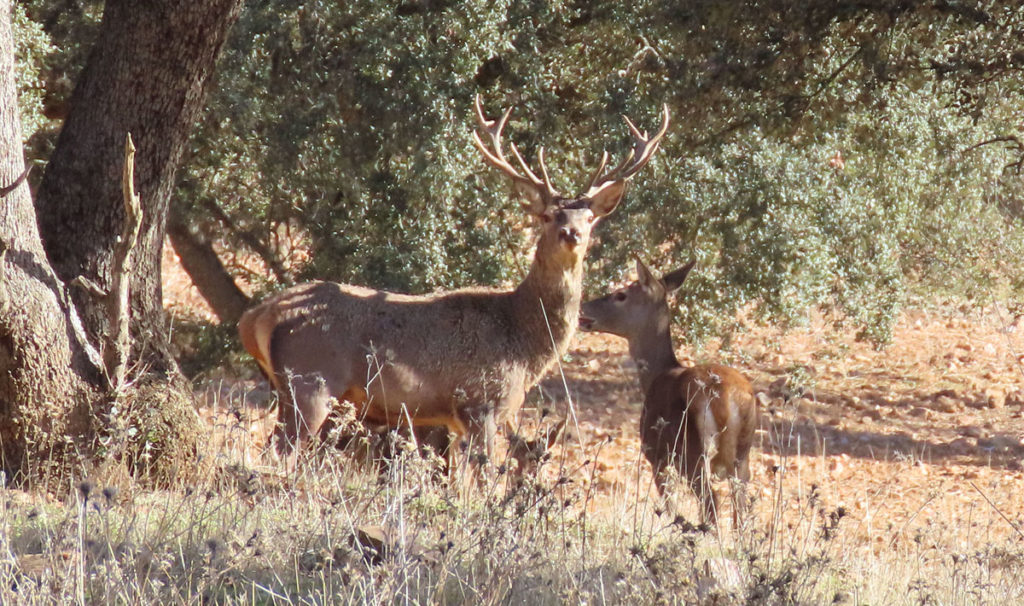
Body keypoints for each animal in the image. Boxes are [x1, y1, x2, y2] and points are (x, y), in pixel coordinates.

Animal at [240, 97, 671, 470]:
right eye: (548, 216)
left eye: (590, 218)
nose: (571, 233)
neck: (524, 342)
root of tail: (256, 315)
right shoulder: (482, 402)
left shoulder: (456, 419)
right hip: (310, 382)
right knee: (277, 453)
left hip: (290, 387)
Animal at [581, 255, 757, 524]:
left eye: (621, 294)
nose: (583, 307)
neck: (656, 374)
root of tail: (730, 400)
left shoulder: (658, 457)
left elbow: (669, 507)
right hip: (742, 456)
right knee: (741, 509)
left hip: (692, 452)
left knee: (711, 502)